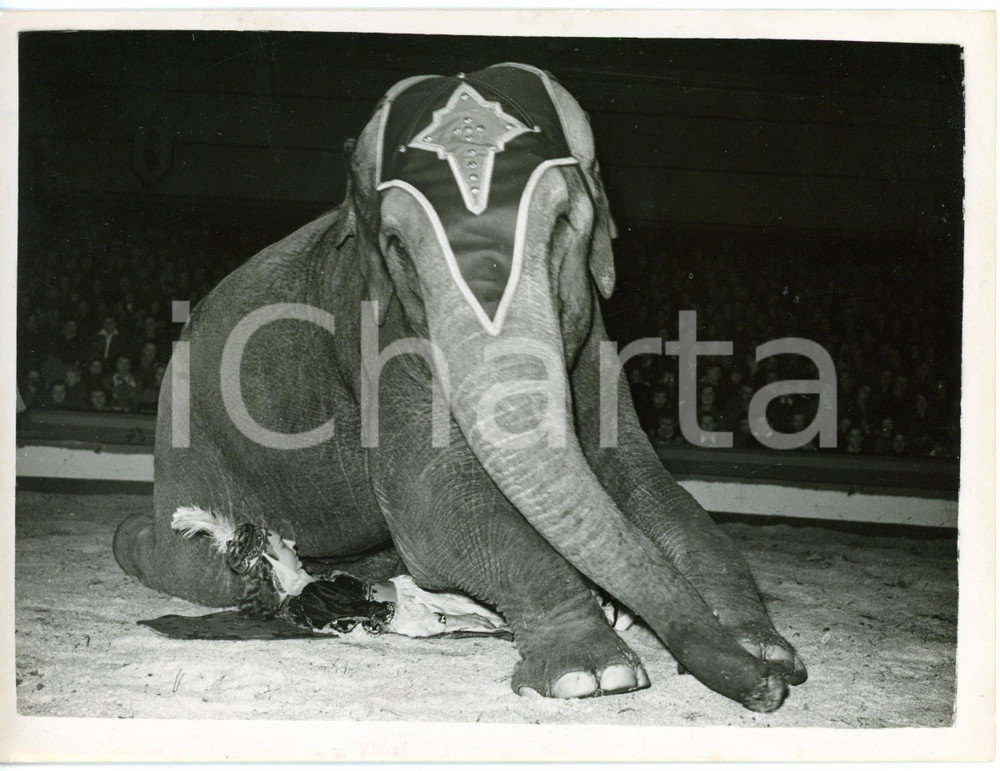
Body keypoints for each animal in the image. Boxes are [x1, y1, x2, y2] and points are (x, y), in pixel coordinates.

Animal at [113, 63, 806, 712]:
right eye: (397, 246)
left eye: (563, 223)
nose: (765, 692)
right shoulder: (379, 338)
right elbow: (440, 507)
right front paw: (593, 676)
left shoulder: (596, 338)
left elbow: (649, 487)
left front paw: (766, 650)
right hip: (189, 442)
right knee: (202, 570)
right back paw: (139, 536)